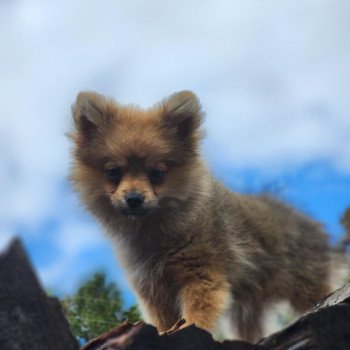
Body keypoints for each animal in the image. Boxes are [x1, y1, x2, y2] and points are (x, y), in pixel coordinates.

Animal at [69, 90, 334, 342]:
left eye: (157, 173)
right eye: (114, 172)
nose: (134, 198)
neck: (155, 232)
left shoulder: (202, 273)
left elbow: (195, 315)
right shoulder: (154, 289)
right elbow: (163, 321)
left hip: (302, 287)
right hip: (250, 304)